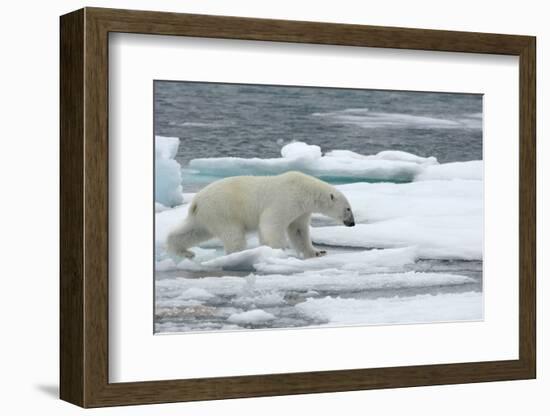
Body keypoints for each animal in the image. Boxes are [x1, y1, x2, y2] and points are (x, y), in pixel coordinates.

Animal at [167, 171, 358, 258]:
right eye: (348, 208)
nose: (352, 223)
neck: (305, 190)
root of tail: (196, 201)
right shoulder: (286, 199)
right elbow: (271, 223)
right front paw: (278, 250)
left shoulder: (301, 210)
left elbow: (298, 231)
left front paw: (318, 252)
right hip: (223, 210)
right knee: (233, 234)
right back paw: (238, 254)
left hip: (206, 215)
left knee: (192, 231)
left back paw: (183, 251)